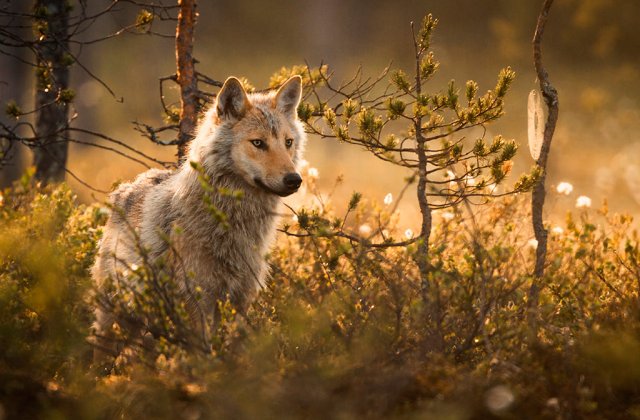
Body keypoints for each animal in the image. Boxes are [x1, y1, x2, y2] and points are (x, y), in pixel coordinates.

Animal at [90, 75, 308, 354]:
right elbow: (202, 354)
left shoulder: (241, 301)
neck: (234, 223)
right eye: (258, 143)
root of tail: (125, 189)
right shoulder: (197, 301)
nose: (294, 180)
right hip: (116, 316)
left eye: (288, 142)